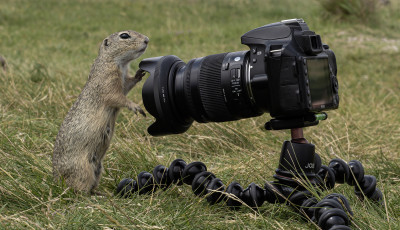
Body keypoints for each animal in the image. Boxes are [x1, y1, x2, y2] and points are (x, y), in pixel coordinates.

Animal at [51, 29, 148, 193]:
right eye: (124, 36)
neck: (116, 63)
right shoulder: (107, 82)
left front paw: (139, 74)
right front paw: (135, 107)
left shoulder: (123, 82)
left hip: (98, 168)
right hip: (83, 170)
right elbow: (117, 97)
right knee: (79, 190)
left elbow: (127, 85)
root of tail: (56, 180)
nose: (147, 40)